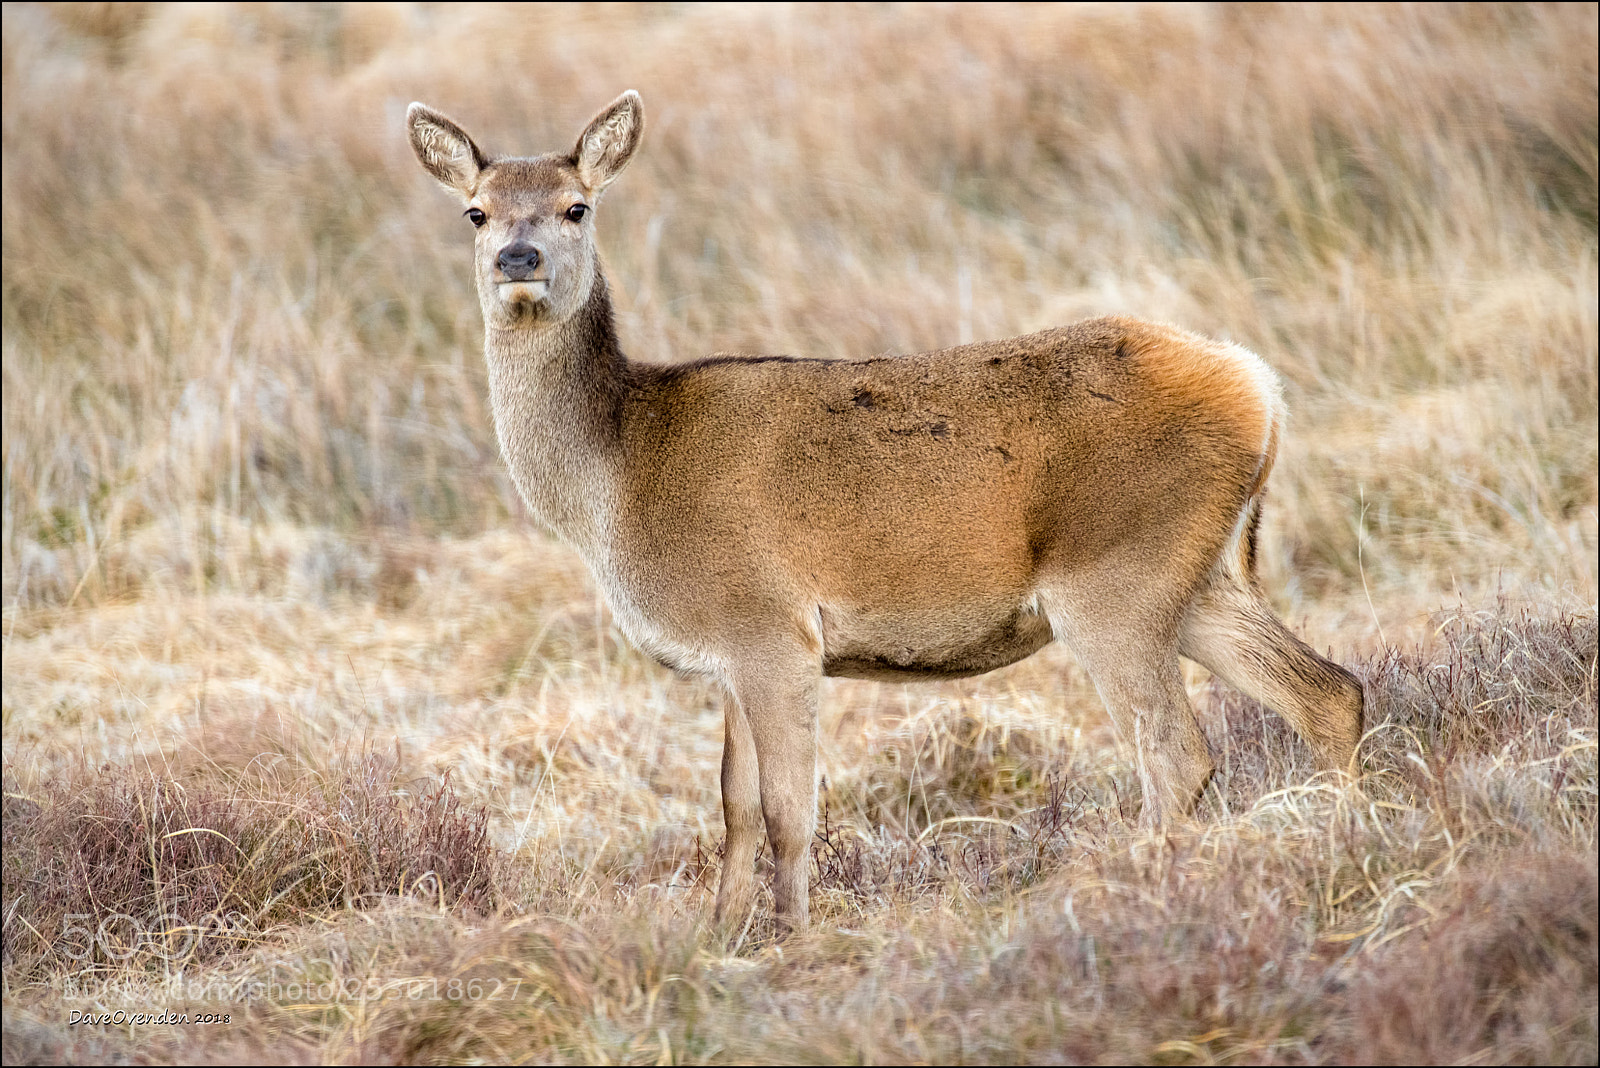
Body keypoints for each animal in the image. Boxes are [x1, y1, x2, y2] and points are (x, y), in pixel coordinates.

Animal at [407, 90, 1364, 932]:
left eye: (575, 207)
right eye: (476, 214)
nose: (518, 259)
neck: (620, 477)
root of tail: (1260, 387)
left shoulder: (769, 629)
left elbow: (788, 813)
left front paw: (794, 939)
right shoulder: (730, 652)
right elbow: (735, 810)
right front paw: (718, 936)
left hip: (1116, 575)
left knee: (1178, 751)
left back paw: (1152, 884)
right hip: (1196, 576)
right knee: (1328, 691)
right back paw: (1342, 841)